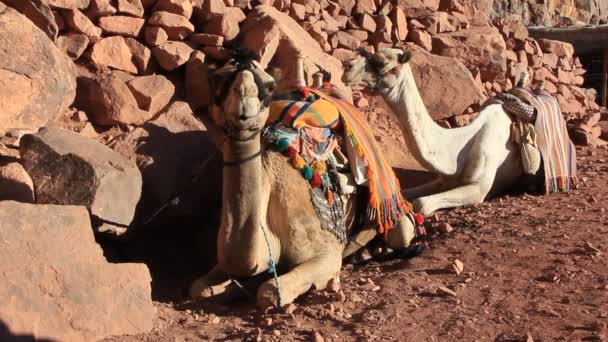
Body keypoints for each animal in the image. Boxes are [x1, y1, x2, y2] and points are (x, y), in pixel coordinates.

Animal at [342, 48, 532, 214]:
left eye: (381, 61)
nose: (347, 67)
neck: (456, 151)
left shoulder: (479, 187)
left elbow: (421, 203)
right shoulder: (444, 180)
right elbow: (405, 194)